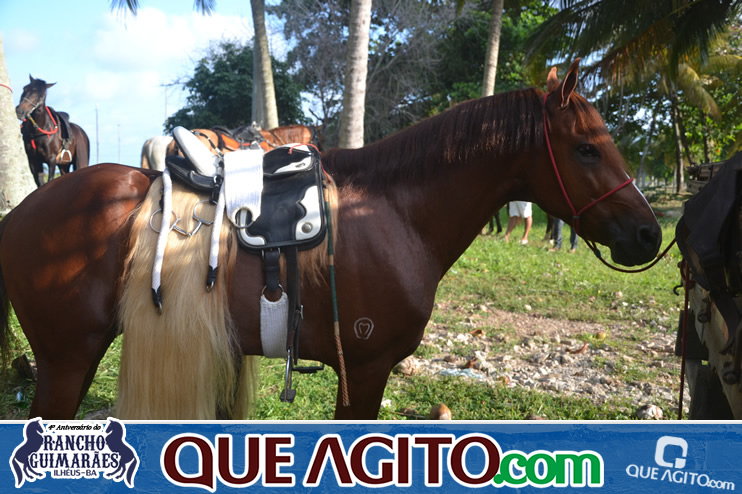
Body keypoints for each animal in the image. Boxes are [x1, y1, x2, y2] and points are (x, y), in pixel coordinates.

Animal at [0, 60, 661, 420]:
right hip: (68, 361)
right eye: (587, 148)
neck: (394, 211)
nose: (649, 233)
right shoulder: (365, 369)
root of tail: (18, 216)